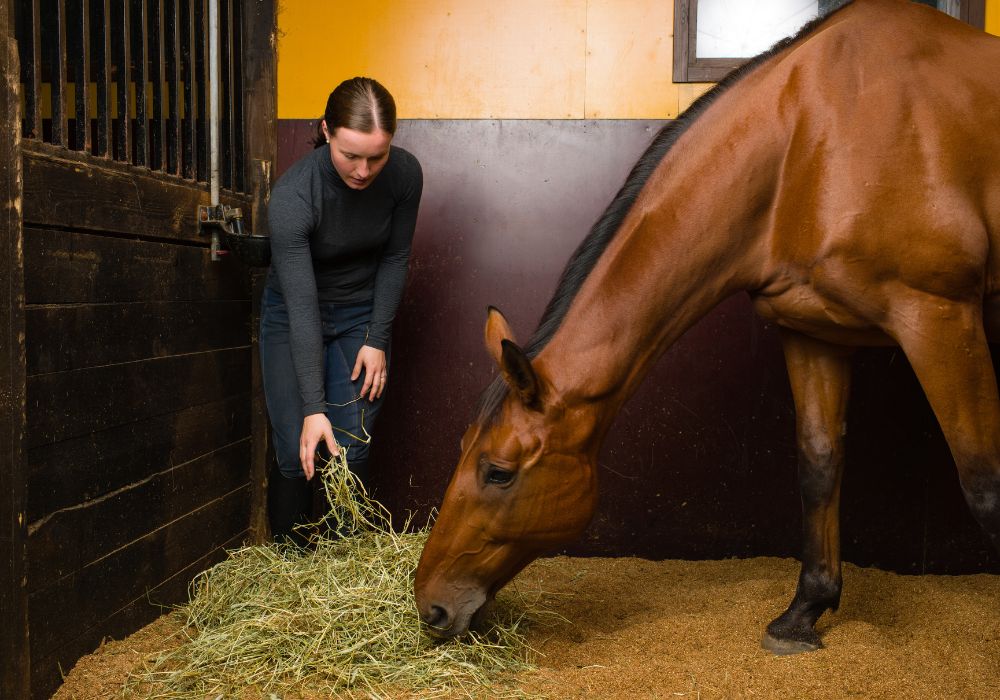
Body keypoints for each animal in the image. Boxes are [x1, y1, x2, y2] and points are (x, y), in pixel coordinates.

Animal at [414, 0, 1000, 654]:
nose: (430, 604)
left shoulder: (940, 316)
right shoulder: (813, 332)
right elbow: (819, 463)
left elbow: (985, 483)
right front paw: (804, 612)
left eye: (498, 472)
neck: (814, 140)